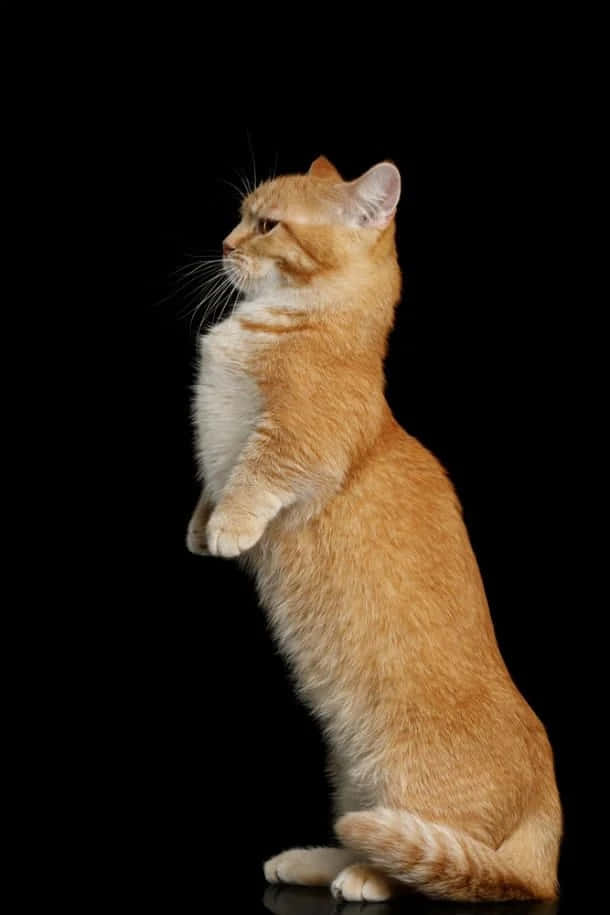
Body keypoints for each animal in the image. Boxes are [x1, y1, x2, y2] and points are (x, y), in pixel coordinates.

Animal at [186, 156, 560, 900]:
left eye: (266, 224)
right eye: (243, 215)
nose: (224, 244)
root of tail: (547, 808)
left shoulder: (303, 443)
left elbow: (257, 472)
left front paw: (230, 527)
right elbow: (215, 480)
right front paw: (201, 525)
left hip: (405, 786)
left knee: (434, 859)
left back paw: (363, 877)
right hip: (351, 775)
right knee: (364, 830)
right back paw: (307, 860)